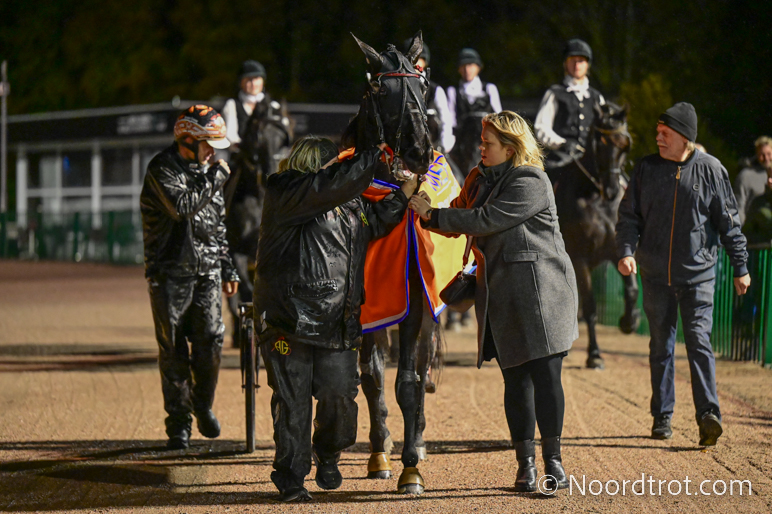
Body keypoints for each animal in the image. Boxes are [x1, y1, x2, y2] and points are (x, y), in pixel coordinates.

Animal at [553, 102, 641, 369]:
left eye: (625, 144)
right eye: (600, 142)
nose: (612, 190)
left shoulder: (617, 252)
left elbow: (632, 290)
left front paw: (630, 321)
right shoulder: (578, 259)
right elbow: (590, 307)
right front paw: (594, 354)